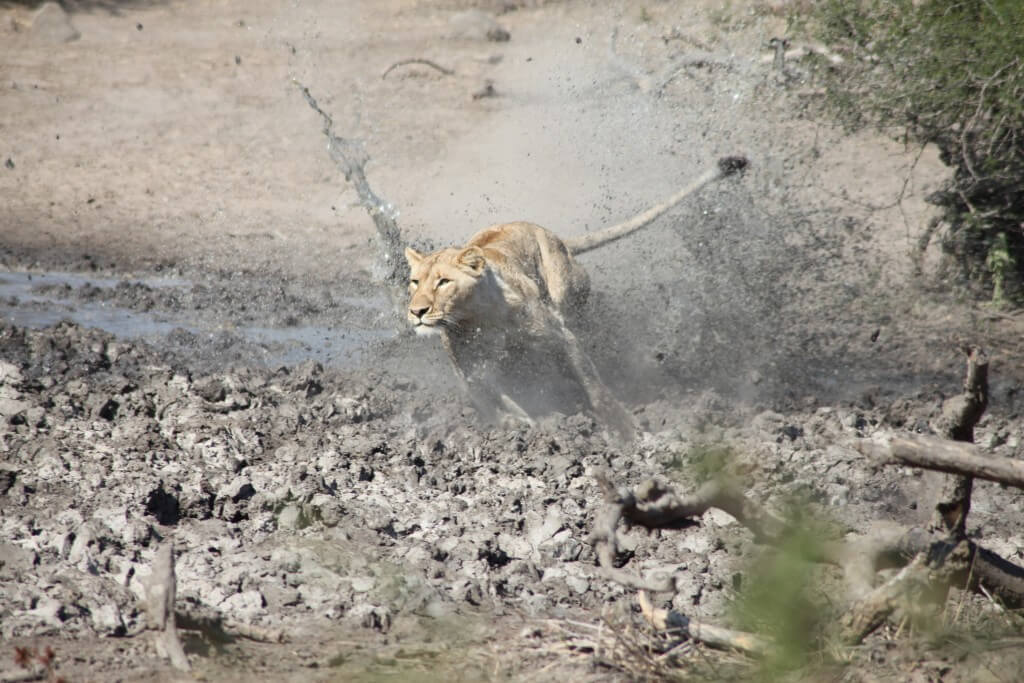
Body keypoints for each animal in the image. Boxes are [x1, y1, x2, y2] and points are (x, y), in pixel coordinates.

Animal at [405, 156, 747, 438]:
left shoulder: (560, 338)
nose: (416, 311)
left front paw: (624, 431)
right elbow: (493, 401)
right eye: (415, 282)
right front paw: (519, 423)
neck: (478, 319)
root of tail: (556, 237)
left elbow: (595, 387)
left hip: (567, 296)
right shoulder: (471, 371)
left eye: (443, 282)